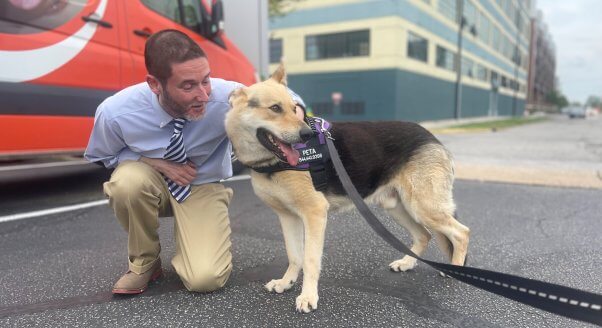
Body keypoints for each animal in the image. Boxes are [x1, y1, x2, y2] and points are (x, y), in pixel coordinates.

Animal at [225, 64, 468, 312]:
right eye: (275, 108)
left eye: (294, 109)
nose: (307, 134)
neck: (272, 163)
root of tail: (433, 138)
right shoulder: (288, 217)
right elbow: (294, 255)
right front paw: (286, 282)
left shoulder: (314, 214)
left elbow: (310, 259)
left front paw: (308, 296)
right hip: (398, 208)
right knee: (424, 235)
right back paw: (407, 263)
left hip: (423, 207)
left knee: (461, 233)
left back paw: (455, 270)